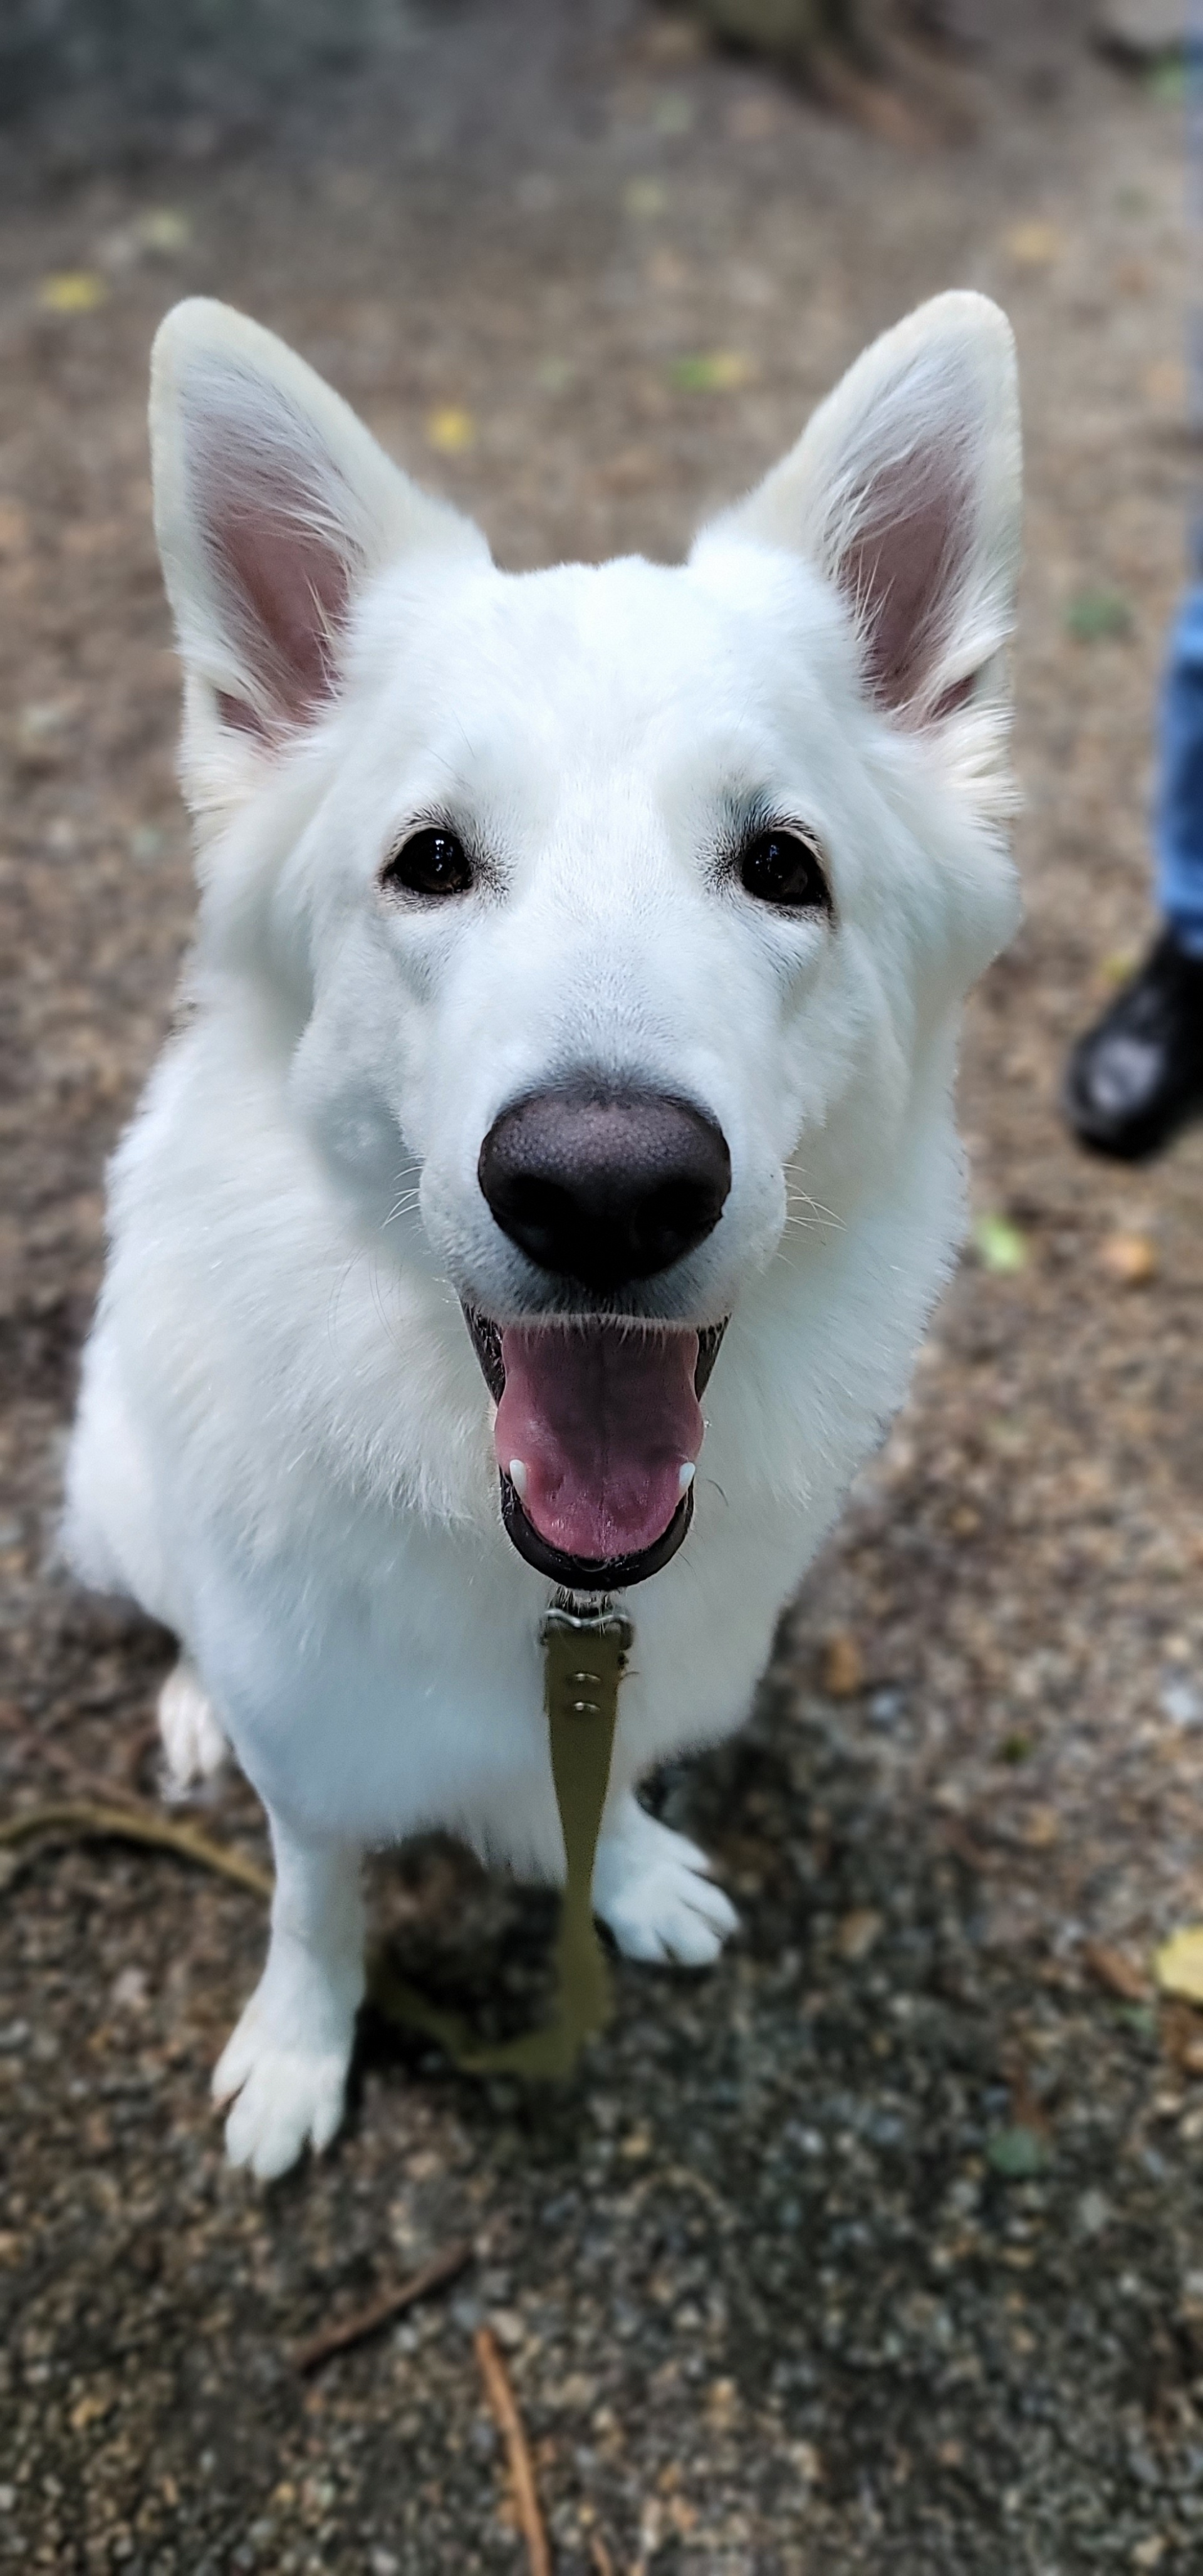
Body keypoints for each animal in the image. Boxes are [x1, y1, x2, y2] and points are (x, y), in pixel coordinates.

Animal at [63, 287, 1025, 2174]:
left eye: (781, 866)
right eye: (430, 861)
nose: (605, 1184)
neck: (555, 1602)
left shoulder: (629, 1684)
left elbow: (613, 1788)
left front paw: (630, 1872)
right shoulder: (319, 1760)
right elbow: (315, 1895)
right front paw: (301, 2045)